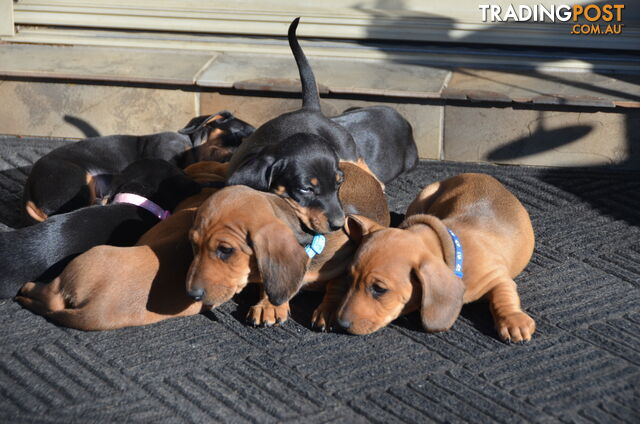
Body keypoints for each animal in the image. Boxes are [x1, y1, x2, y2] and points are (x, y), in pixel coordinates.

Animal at [182, 161, 388, 326]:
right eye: (193, 243)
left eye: (225, 250)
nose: (192, 295)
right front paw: (269, 305)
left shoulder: (347, 260)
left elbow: (337, 284)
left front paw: (328, 310)